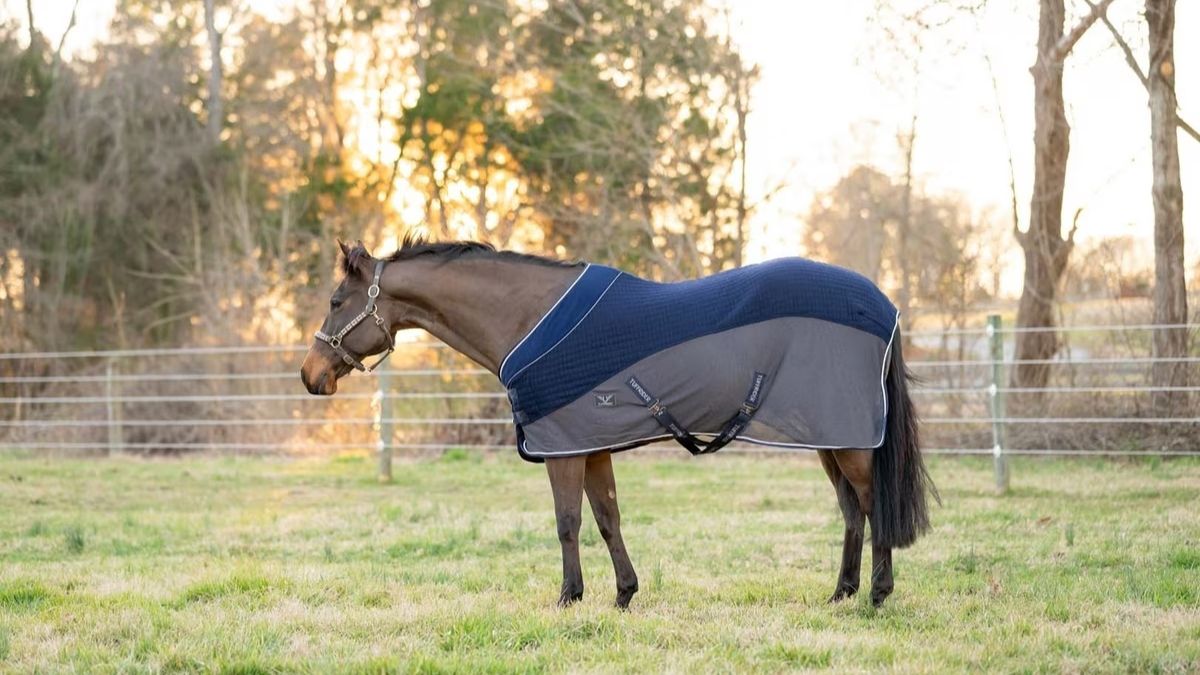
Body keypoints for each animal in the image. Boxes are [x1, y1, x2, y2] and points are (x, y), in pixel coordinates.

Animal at [301, 236, 938, 609]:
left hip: (851, 442)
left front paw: (569, 598)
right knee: (852, 512)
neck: (530, 317)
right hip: (831, 436)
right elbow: (607, 519)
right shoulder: (592, 445)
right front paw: (624, 595)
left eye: (335, 301)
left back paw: (877, 596)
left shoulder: (561, 449)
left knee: (872, 505)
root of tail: (882, 303)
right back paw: (840, 593)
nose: (311, 375)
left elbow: (567, 523)